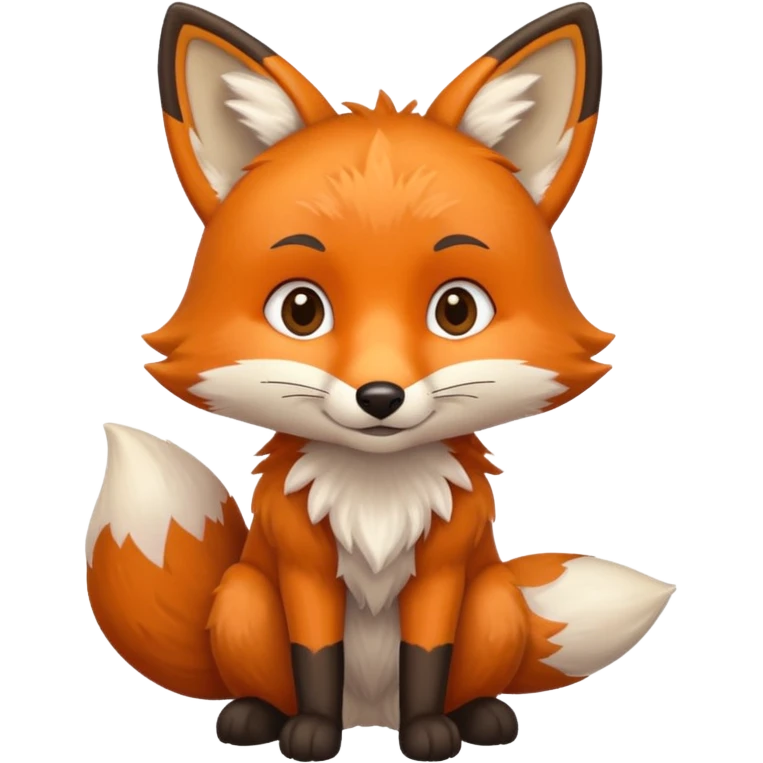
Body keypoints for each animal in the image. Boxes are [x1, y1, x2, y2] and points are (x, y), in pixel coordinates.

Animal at [86, 3, 674, 761]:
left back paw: (479, 716)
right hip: (244, 596)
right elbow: (316, 656)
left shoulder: (443, 570)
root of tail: (371, 716)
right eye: (300, 310)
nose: (380, 398)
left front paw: (430, 734)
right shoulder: (303, 569)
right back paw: (256, 716)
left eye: (456, 310)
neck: (377, 496)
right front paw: (311, 731)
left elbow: (426, 656)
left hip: (494, 602)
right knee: (261, 679)